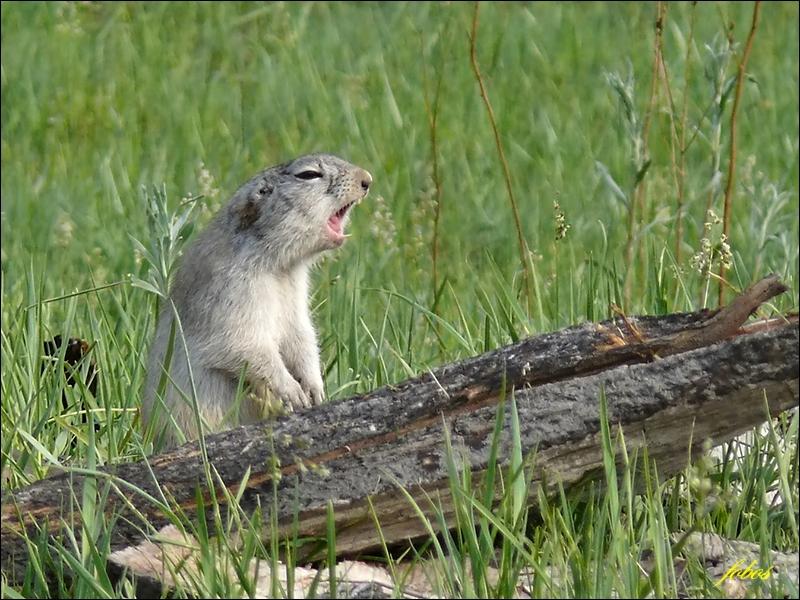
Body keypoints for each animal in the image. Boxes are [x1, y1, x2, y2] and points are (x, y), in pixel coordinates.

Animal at [143, 154, 372, 446]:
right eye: (308, 174)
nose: (367, 179)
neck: (280, 267)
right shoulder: (233, 289)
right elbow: (245, 343)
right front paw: (293, 392)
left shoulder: (295, 298)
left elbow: (302, 335)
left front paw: (315, 389)